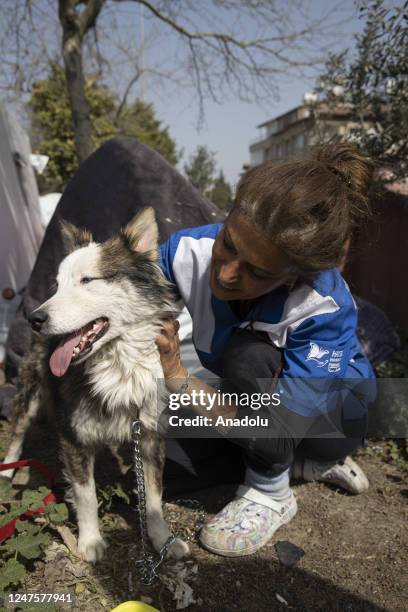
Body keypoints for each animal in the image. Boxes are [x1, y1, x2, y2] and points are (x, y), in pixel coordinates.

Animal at [3, 209, 189, 564]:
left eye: (88, 280)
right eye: (58, 285)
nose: (35, 319)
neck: (118, 364)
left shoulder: (149, 434)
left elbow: (154, 496)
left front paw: (163, 539)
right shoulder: (74, 438)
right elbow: (86, 495)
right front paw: (90, 541)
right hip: (31, 389)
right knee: (18, 431)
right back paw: (7, 471)